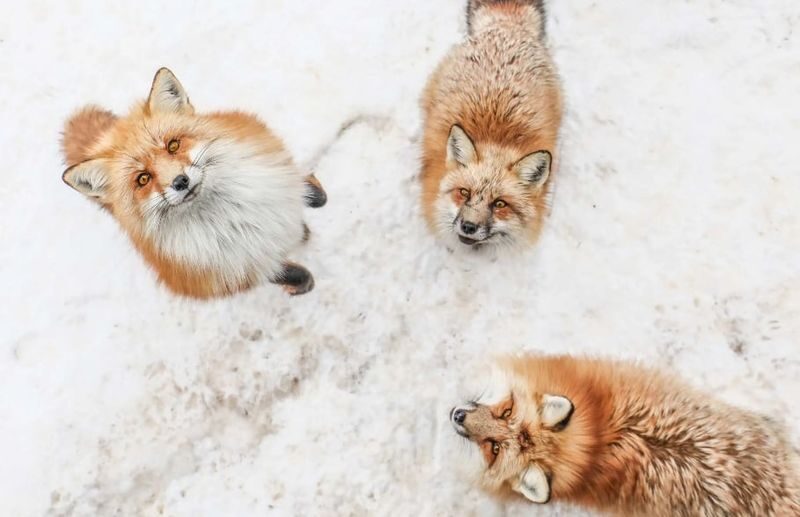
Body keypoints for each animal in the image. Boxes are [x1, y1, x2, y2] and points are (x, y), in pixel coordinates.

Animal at [61, 68, 327, 299]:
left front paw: (311, 194)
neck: (235, 217)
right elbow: (286, 274)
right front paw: (301, 284)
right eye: (143, 179)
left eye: (173, 145)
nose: (180, 181)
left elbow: (312, 193)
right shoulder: (236, 270)